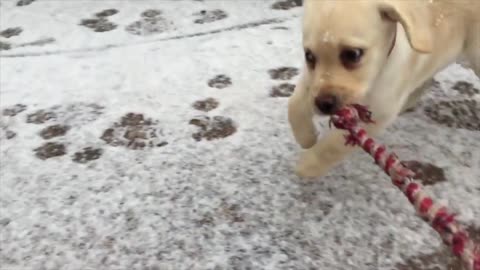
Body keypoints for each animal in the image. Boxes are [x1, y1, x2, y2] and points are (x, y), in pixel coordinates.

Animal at [288, 0, 480, 178]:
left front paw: (308, 165)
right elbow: (294, 104)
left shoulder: (379, 111)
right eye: (309, 56)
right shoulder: (311, 79)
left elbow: (333, 145)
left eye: (353, 54)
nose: (323, 104)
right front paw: (307, 137)